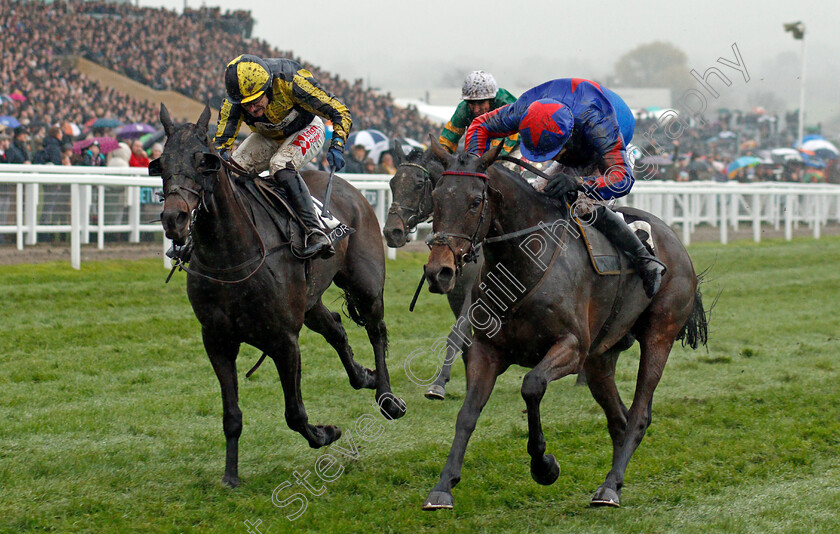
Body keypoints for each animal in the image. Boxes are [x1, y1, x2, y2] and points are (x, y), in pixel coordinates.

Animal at [159, 105, 408, 490]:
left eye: (203, 161)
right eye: (160, 163)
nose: (174, 218)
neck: (232, 256)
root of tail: (349, 187)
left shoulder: (284, 339)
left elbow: (294, 413)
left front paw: (325, 433)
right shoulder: (217, 340)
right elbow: (231, 415)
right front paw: (230, 476)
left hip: (366, 284)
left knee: (377, 331)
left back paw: (386, 397)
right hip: (310, 301)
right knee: (337, 329)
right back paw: (363, 377)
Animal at [384, 140, 482, 400]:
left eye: (419, 184)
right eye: (392, 183)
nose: (391, 232)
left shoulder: (473, 291)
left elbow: (457, 334)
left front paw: (438, 384)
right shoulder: (454, 291)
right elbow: (465, 337)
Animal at [424, 140, 704, 512]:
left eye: (474, 201)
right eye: (437, 197)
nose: (438, 271)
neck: (524, 264)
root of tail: (676, 243)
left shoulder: (571, 347)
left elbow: (531, 385)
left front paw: (544, 466)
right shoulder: (486, 350)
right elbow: (467, 414)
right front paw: (443, 486)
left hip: (659, 335)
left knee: (638, 415)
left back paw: (609, 488)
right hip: (600, 358)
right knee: (618, 418)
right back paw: (613, 479)